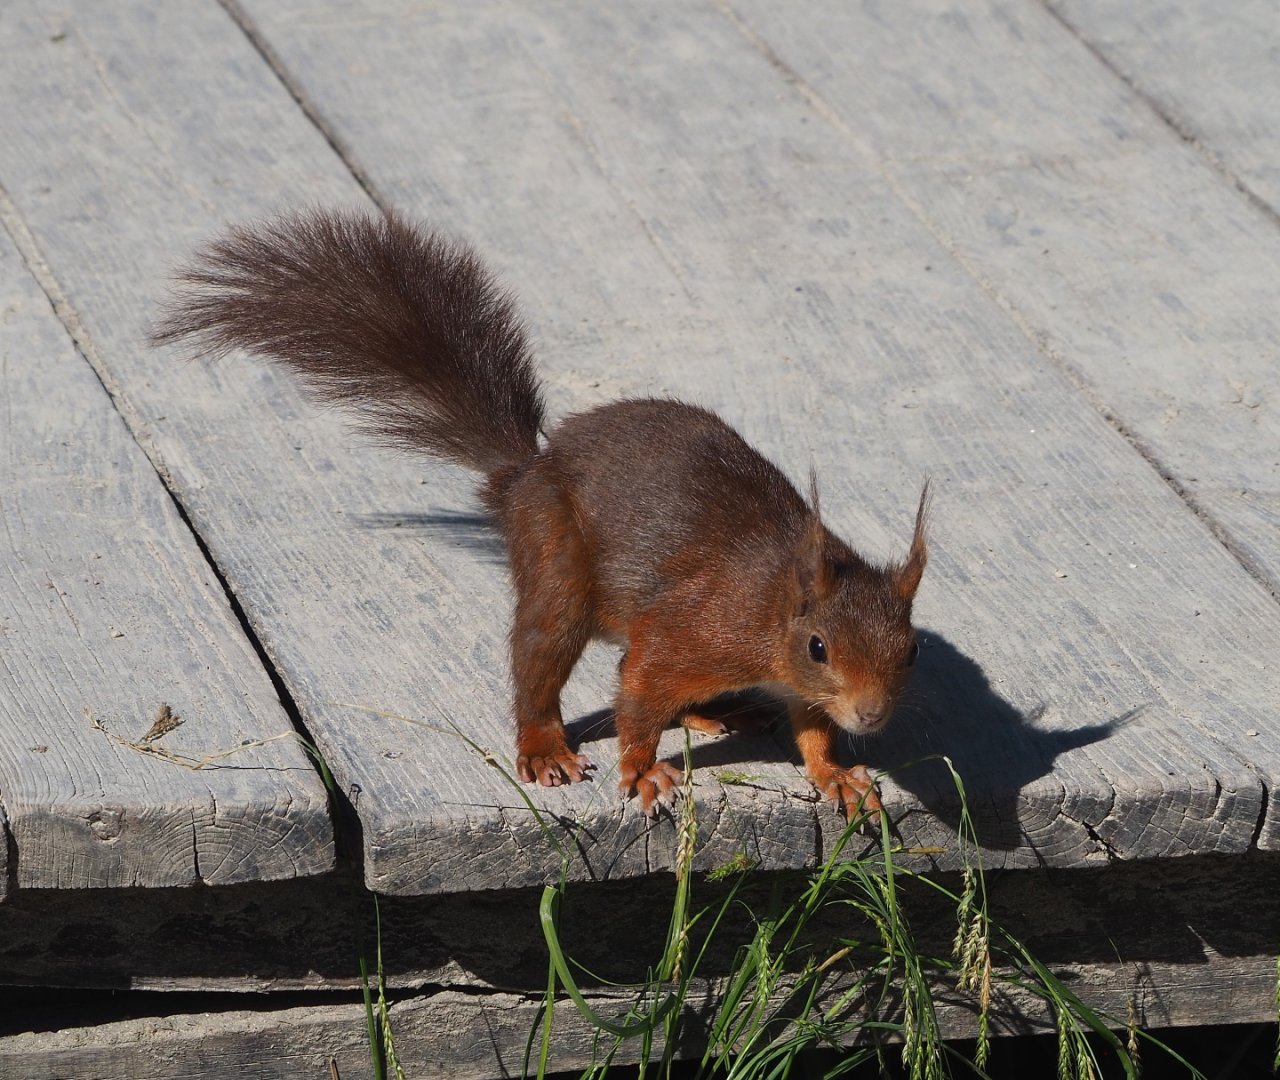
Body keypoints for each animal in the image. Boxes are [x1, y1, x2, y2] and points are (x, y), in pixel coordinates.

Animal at [153, 209, 929, 816]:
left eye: (912, 649)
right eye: (819, 646)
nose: (873, 714)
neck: (776, 605)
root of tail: (526, 471)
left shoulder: (800, 690)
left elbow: (810, 729)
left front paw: (837, 774)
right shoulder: (699, 629)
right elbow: (641, 691)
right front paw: (642, 771)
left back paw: (714, 711)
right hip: (554, 555)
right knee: (542, 654)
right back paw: (544, 745)